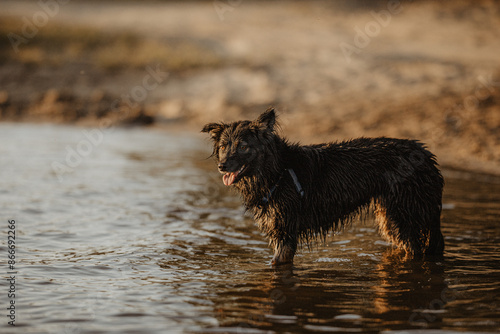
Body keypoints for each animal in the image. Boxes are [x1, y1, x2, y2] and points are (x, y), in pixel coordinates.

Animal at [203, 108, 446, 264]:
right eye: (223, 147)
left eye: (243, 146)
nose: (222, 166)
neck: (278, 171)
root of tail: (428, 156)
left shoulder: (285, 233)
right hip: (391, 218)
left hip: (401, 216)